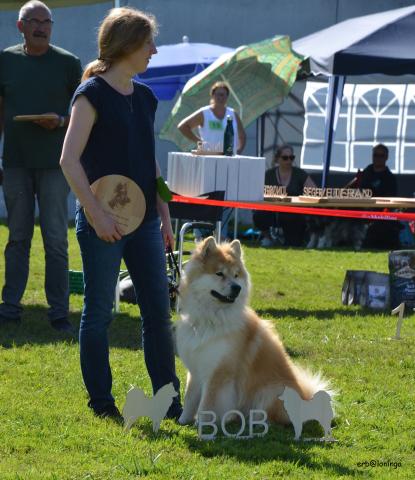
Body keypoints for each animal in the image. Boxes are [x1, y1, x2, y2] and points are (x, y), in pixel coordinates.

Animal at [176, 236, 328, 424]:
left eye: (236, 275)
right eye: (219, 274)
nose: (237, 287)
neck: (209, 317)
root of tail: (305, 401)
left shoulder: (218, 373)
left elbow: (207, 404)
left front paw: (202, 425)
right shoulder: (196, 369)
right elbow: (190, 398)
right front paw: (183, 421)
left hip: (270, 391)